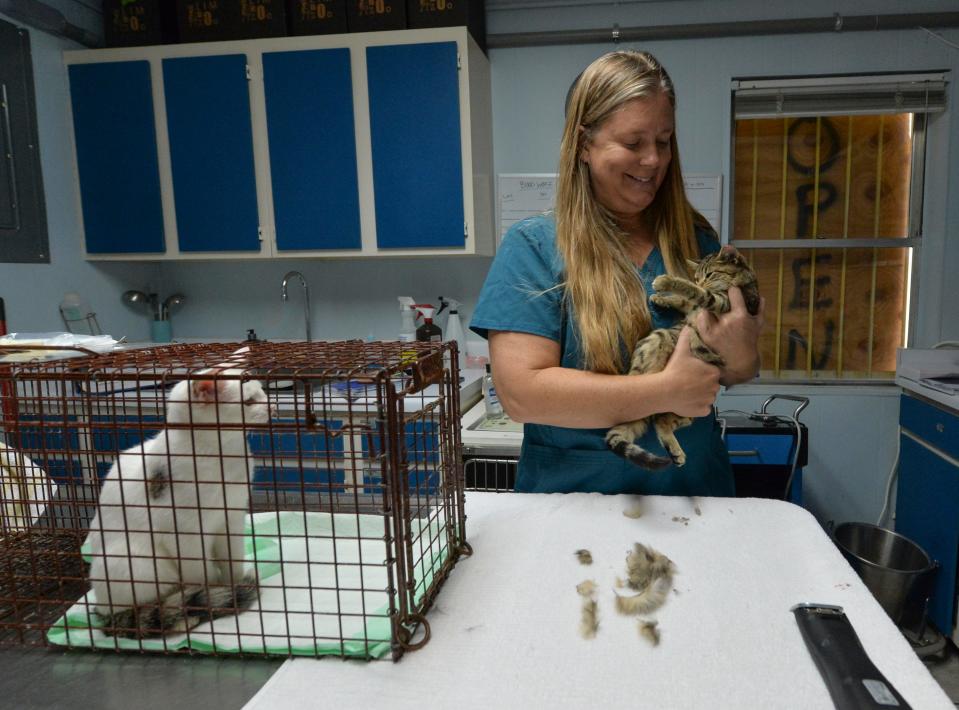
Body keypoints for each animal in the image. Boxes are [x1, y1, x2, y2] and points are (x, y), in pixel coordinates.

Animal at [85, 376, 270, 644]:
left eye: (263, 392)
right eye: (249, 400)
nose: (273, 406)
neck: (224, 458)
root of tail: (102, 612)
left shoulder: (232, 518)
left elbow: (232, 561)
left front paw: (232, 586)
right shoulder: (184, 532)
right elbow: (200, 574)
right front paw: (214, 594)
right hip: (128, 561)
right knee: (138, 614)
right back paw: (182, 617)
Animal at [604, 250, 760, 472]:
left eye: (710, 274)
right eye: (697, 276)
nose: (701, 282)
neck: (744, 281)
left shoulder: (724, 302)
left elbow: (697, 294)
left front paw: (667, 282)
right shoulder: (701, 306)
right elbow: (687, 301)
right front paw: (661, 297)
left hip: (687, 411)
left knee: (659, 419)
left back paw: (674, 449)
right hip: (658, 341)